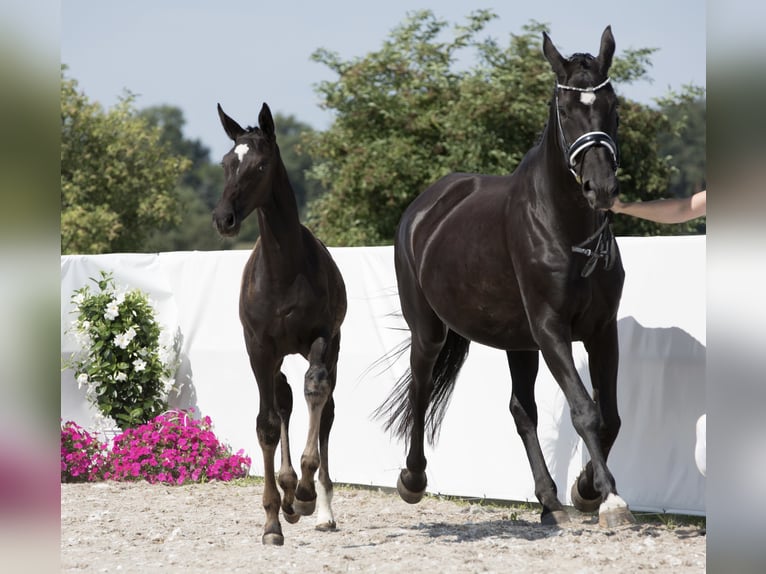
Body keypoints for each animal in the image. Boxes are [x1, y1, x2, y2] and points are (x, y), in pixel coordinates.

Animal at [214, 103, 350, 548]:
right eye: (226, 163)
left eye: (259, 166)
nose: (224, 218)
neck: (283, 272)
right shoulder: (259, 348)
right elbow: (268, 424)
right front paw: (273, 520)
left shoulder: (321, 339)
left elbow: (316, 393)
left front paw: (306, 494)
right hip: (275, 358)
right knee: (284, 399)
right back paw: (289, 497)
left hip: (331, 346)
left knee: (324, 408)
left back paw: (319, 507)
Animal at [378, 28, 636, 532]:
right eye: (565, 110)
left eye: (612, 105)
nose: (601, 188)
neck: (565, 228)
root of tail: (427, 206)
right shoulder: (551, 329)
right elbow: (585, 411)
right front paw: (610, 498)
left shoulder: (601, 331)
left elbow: (610, 416)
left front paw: (587, 490)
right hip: (429, 330)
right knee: (420, 389)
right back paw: (412, 479)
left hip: (518, 343)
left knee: (522, 410)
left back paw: (550, 501)